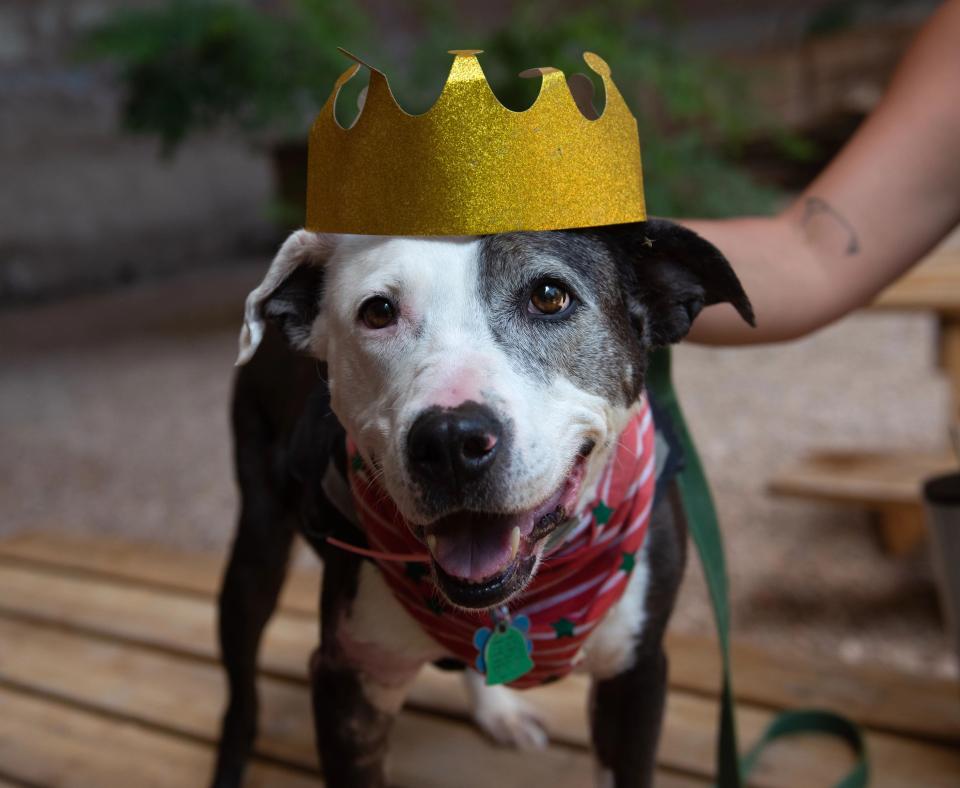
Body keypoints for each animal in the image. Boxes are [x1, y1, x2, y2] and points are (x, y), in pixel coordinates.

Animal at [214, 217, 752, 788]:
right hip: (256, 546)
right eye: (378, 311)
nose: (451, 441)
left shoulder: (637, 674)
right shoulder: (348, 682)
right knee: (241, 690)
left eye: (549, 296)